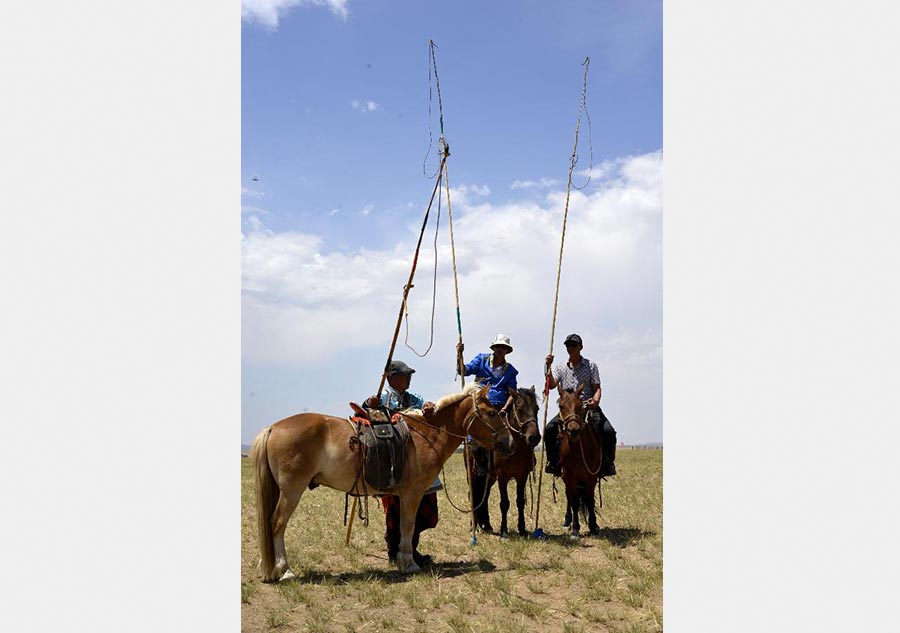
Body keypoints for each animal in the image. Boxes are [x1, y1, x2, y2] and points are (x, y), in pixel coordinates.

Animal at [251, 380, 512, 576]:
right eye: (492, 413)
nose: (509, 441)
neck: (427, 434)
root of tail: (272, 428)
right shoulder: (412, 493)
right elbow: (407, 525)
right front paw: (408, 563)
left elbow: (405, 526)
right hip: (292, 491)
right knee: (276, 523)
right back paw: (284, 570)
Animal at [472, 386, 540, 540]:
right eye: (519, 409)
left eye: (537, 408)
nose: (534, 438)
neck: (516, 448)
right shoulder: (502, 476)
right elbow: (504, 503)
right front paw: (504, 532)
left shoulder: (522, 476)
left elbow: (520, 501)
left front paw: (522, 530)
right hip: (474, 475)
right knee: (474, 495)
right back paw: (474, 526)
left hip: (489, 478)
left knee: (484, 496)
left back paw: (486, 525)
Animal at [556, 382, 604, 536]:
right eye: (561, 406)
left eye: (580, 405)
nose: (574, 430)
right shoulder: (570, 477)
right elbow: (575, 502)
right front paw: (575, 528)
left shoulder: (591, 477)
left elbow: (590, 501)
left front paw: (593, 526)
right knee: (569, 497)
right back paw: (568, 520)